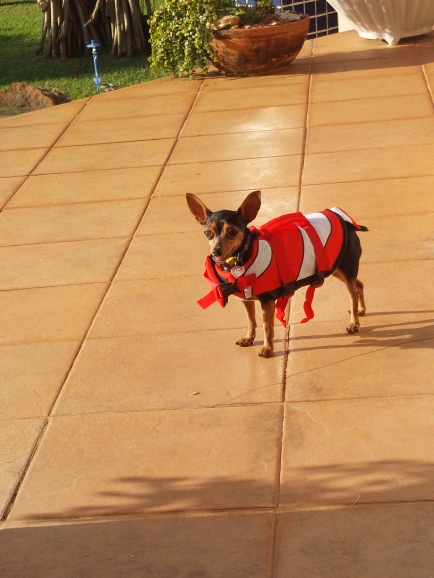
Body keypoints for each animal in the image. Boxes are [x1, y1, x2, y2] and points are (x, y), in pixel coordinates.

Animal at [186, 190, 366, 356]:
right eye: (207, 233)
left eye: (232, 232)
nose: (216, 251)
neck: (242, 257)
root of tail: (346, 221)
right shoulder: (246, 299)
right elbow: (251, 320)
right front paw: (249, 338)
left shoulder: (267, 301)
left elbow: (267, 326)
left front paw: (267, 348)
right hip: (335, 269)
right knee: (359, 285)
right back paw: (360, 310)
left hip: (346, 269)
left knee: (353, 295)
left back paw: (354, 323)